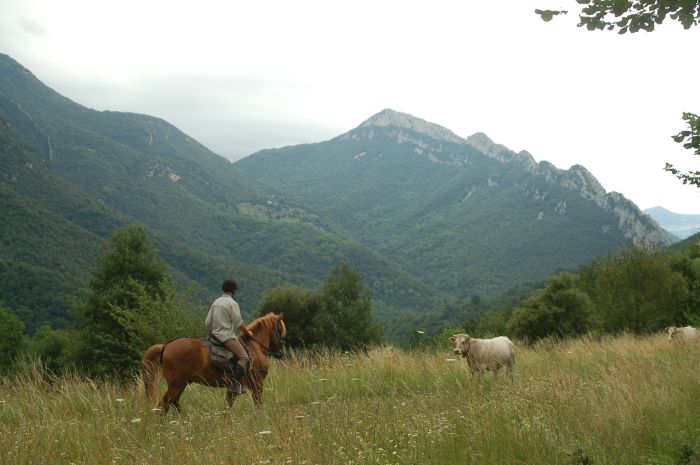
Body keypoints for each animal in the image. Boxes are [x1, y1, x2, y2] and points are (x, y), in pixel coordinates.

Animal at [139, 310, 284, 412]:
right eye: (280, 331)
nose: (281, 353)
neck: (255, 346)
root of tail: (166, 346)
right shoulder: (257, 384)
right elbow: (257, 405)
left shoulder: (233, 388)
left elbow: (227, 406)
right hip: (176, 384)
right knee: (166, 403)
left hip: (181, 384)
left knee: (174, 402)